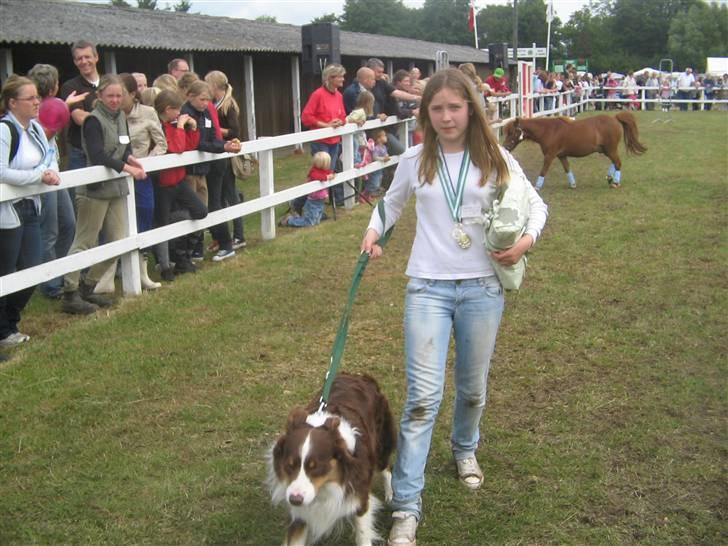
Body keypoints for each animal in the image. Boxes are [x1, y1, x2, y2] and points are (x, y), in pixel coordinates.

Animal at [268, 372, 396, 544]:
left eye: (316, 467)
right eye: (290, 465)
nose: (295, 500)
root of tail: (360, 376)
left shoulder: (359, 498)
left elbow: (363, 536)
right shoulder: (300, 514)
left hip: (381, 443)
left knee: (386, 467)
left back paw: (390, 494)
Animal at [500, 111, 648, 188]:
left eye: (512, 132)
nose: (505, 147)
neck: (549, 130)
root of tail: (615, 118)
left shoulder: (550, 155)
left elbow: (543, 171)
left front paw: (537, 187)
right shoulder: (561, 156)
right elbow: (567, 169)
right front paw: (572, 184)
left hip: (610, 149)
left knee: (618, 163)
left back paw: (615, 182)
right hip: (606, 150)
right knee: (614, 162)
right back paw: (610, 177)